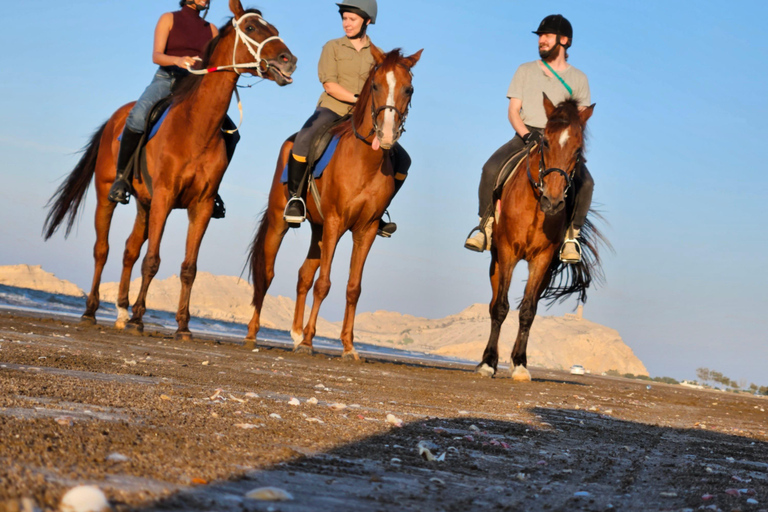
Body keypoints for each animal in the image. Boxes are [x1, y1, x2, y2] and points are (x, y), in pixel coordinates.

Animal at [41, 3, 296, 344]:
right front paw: (138, 319)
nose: (289, 60)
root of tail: (116, 118)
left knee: (129, 250)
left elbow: (189, 267)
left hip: (144, 205)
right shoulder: (164, 197)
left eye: (275, 28)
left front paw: (183, 326)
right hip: (107, 194)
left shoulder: (201, 206)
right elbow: (152, 261)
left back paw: (120, 311)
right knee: (102, 250)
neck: (196, 127)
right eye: (252, 28)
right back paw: (92, 312)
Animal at [246, 48, 424, 360]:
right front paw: (309, 342)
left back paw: (295, 334)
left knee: (304, 275)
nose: (387, 135)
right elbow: (324, 284)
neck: (365, 161)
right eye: (375, 85)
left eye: (409, 89)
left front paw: (348, 346)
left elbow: (353, 288)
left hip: (318, 230)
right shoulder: (335, 222)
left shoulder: (365, 230)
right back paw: (254, 333)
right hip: (282, 221)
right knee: (266, 274)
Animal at [474, 94, 608, 382]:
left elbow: (528, 310)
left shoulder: (542, 260)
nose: (553, 201)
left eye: (578, 150)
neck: (537, 207)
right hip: (496, 261)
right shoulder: (508, 252)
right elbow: (500, 307)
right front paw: (488, 363)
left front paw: (520, 364)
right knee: (493, 304)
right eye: (545, 140)